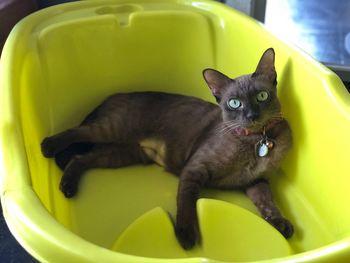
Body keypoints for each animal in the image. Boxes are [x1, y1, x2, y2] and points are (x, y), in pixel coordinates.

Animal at [41, 48, 292, 251]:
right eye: (234, 103)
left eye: (261, 96)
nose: (251, 115)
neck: (257, 140)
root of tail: (112, 96)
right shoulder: (195, 170)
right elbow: (186, 203)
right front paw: (186, 235)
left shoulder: (256, 182)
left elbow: (268, 203)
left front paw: (280, 224)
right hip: (110, 130)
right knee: (77, 132)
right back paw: (48, 147)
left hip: (122, 154)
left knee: (80, 158)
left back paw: (68, 186)